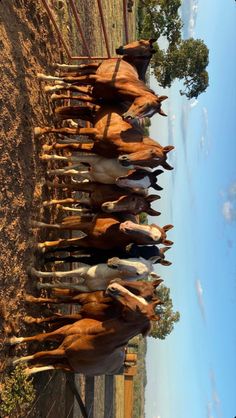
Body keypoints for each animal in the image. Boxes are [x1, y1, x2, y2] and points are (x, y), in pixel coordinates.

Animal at [9, 280, 160, 376]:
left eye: (139, 308)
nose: (114, 286)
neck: (91, 335)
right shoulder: (65, 330)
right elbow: (40, 337)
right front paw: (14, 340)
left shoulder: (65, 351)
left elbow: (39, 354)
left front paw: (14, 361)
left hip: (71, 365)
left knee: (54, 365)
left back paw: (27, 371)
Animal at [33, 214, 173, 250]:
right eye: (151, 225)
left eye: (151, 239)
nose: (126, 225)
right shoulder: (88, 226)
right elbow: (59, 227)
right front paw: (35, 224)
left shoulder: (87, 242)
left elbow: (64, 242)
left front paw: (42, 246)